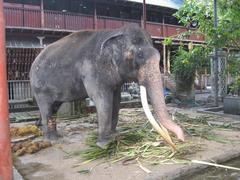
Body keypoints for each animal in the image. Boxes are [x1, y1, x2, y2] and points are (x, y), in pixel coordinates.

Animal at [29, 24, 184, 148]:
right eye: (137, 56)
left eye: (159, 56)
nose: (181, 139)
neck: (115, 32)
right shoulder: (92, 69)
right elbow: (102, 99)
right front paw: (103, 144)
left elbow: (116, 99)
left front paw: (114, 134)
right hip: (39, 88)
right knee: (46, 107)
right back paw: (52, 140)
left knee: (54, 106)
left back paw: (54, 135)